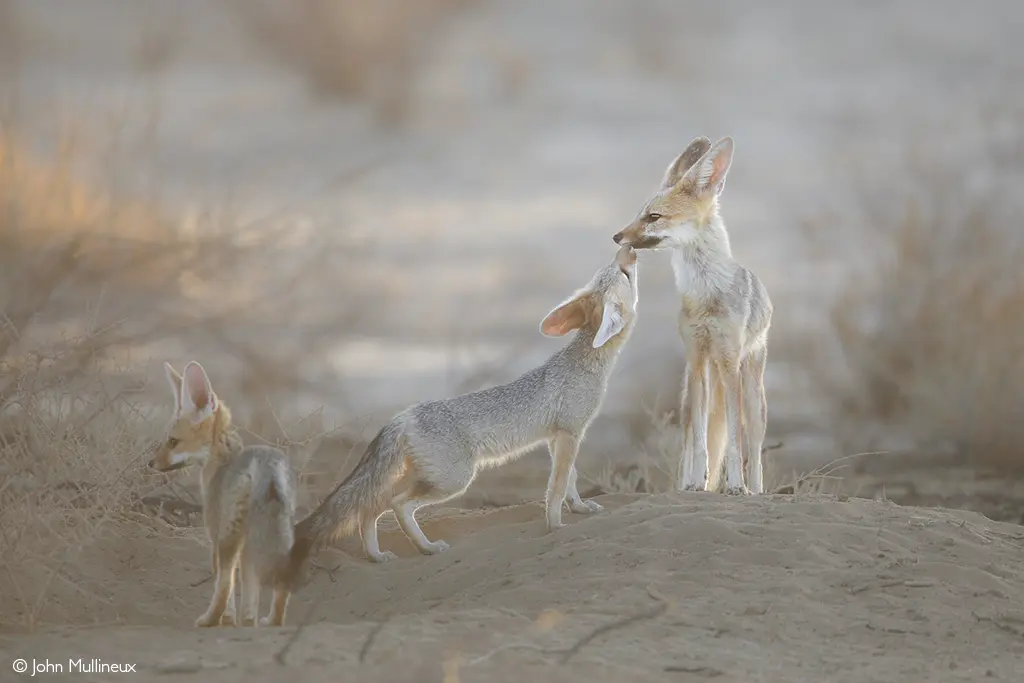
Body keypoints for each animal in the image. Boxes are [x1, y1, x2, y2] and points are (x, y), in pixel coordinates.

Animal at [148, 360, 298, 628]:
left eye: (173, 441)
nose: (151, 463)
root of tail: (265, 463)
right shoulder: (247, 546)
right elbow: (249, 592)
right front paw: (247, 622)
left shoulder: (215, 533)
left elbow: (227, 589)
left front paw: (226, 621)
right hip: (278, 535)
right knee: (279, 586)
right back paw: (273, 621)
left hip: (228, 538)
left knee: (225, 582)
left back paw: (207, 620)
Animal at [279, 245, 640, 589]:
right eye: (622, 273)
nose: (629, 250)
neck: (585, 362)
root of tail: (403, 416)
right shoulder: (569, 434)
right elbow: (557, 485)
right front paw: (555, 524)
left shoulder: (561, 436)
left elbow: (571, 480)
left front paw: (578, 507)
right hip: (455, 480)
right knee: (398, 505)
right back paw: (426, 547)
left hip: (424, 477)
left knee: (370, 508)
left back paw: (377, 555)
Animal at [612, 136, 772, 495]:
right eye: (639, 214)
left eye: (654, 216)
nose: (616, 236)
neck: (707, 295)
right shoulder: (697, 359)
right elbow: (700, 442)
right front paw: (697, 483)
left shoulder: (729, 362)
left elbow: (734, 442)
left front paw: (735, 487)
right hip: (691, 390)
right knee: (692, 436)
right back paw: (687, 483)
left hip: (751, 390)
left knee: (754, 449)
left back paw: (755, 489)